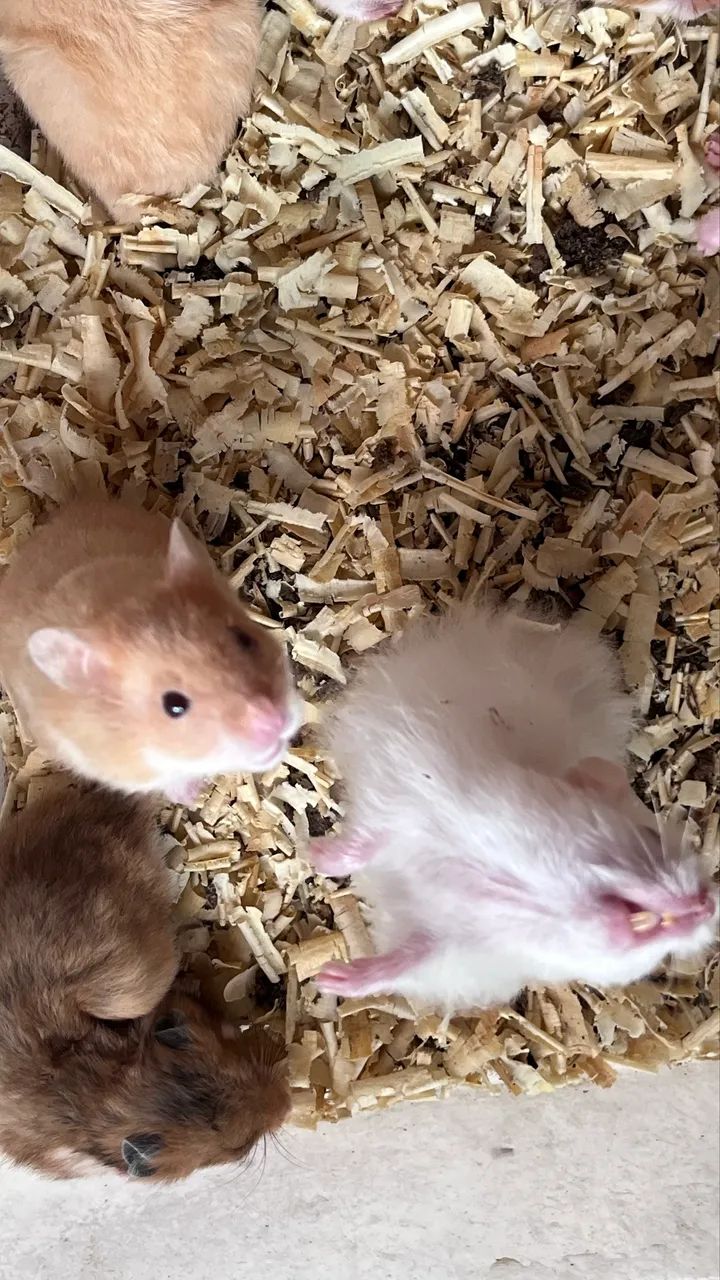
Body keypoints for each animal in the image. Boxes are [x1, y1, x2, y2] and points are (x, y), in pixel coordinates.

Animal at [309, 605, 718, 1012]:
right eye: (649, 833)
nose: (708, 904)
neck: (510, 887)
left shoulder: (451, 944)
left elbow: (405, 960)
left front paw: (331, 979)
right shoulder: (415, 793)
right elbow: (371, 841)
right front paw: (316, 861)